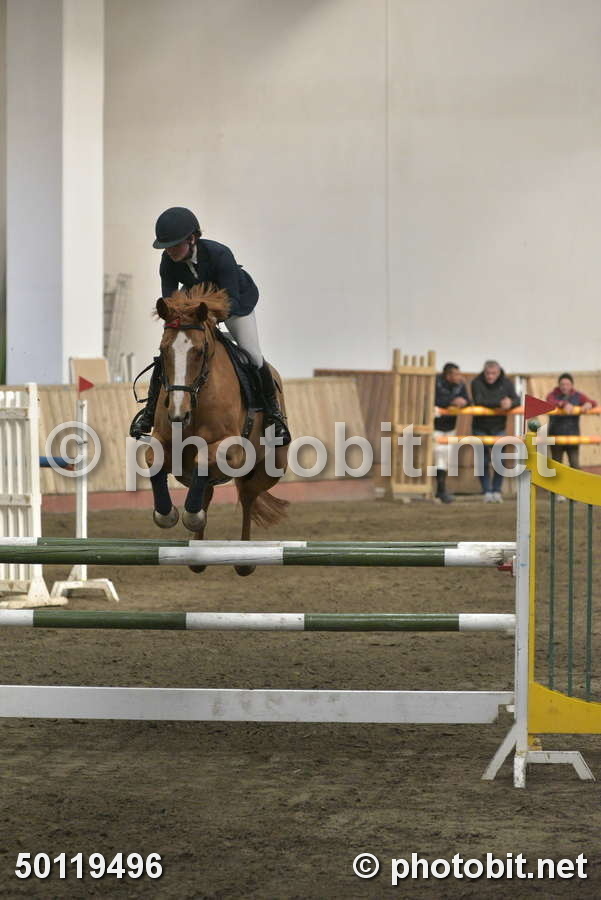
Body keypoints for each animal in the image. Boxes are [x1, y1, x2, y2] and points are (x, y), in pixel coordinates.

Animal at [145, 284, 289, 576]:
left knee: (247, 496)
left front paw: (190, 516)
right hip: (185, 474)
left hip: (269, 468)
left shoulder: (233, 449)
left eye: (199, 351)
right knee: (207, 491)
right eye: (163, 351)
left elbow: (205, 457)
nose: (179, 414)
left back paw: (243, 559)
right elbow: (154, 459)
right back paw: (197, 552)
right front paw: (167, 514)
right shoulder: (166, 444)